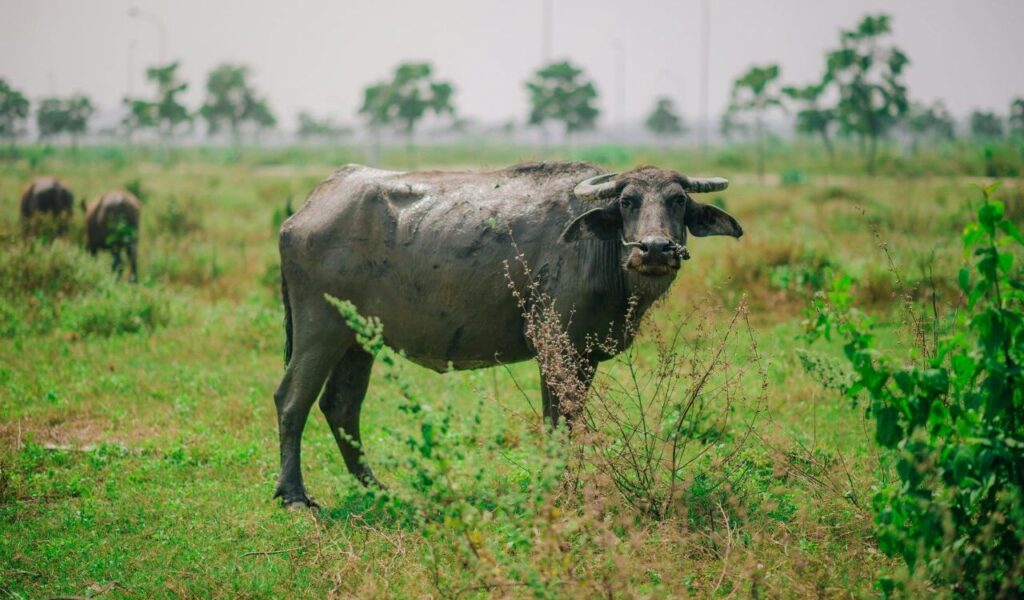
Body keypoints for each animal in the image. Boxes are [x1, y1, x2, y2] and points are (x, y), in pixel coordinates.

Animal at [274, 162, 743, 507]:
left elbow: (570, 421)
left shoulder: (584, 357)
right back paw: (294, 496)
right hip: (319, 332)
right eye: (627, 201)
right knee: (292, 400)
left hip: (358, 341)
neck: (599, 251)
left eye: (678, 200)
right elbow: (557, 423)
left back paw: (378, 489)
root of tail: (304, 211)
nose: (655, 248)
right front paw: (558, 491)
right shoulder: (555, 348)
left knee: (341, 406)